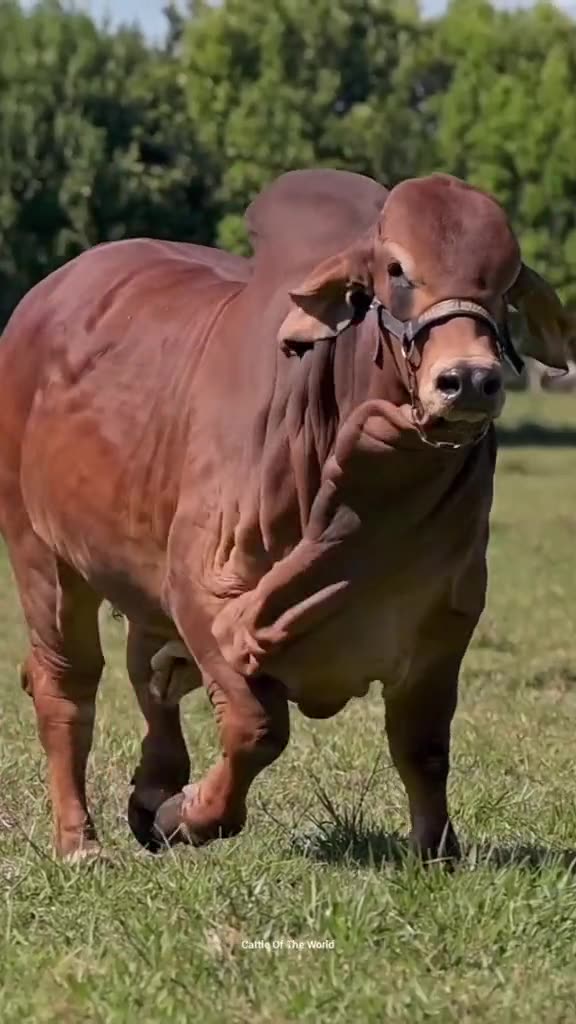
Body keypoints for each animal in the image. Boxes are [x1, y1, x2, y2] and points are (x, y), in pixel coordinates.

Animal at [0, 169, 570, 863]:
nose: (469, 380)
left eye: (508, 283)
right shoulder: (208, 597)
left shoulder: (444, 619)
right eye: (396, 269)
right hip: (42, 556)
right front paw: (186, 814)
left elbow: (424, 746)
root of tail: (41, 299)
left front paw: (438, 852)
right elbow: (256, 729)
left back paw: (150, 789)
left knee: (148, 672)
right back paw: (81, 841)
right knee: (66, 686)